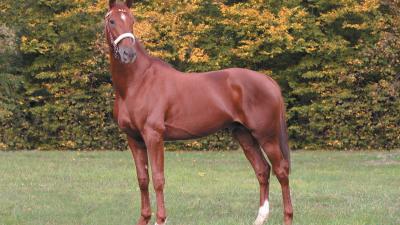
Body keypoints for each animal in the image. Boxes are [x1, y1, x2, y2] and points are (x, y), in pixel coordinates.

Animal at [105, 0, 294, 224]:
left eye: (132, 20)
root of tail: (268, 80)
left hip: (267, 136)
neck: (137, 82)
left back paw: (288, 216)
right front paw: (144, 218)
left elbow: (158, 179)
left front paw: (161, 219)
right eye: (112, 20)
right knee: (262, 170)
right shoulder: (134, 138)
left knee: (281, 171)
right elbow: (143, 179)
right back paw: (260, 218)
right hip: (244, 135)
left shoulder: (153, 136)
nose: (128, 54)